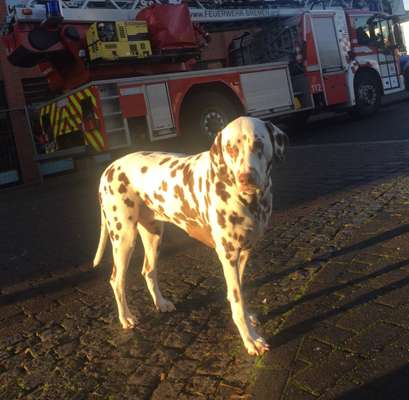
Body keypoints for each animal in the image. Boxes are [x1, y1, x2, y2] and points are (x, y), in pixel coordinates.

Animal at [94, 116, 288, 356]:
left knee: (148, 271)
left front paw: (249, 318)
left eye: (259, 144)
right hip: (124, 239)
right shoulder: (229, 256)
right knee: (116, 280)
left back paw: (161, 303)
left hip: (154, 236)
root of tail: (109, 169)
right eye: (231, 149)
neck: (249, 201)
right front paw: (250, 340)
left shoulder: (243, 253)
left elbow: (239, 294)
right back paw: (126, 317)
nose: (246, 178)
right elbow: (236, 300)